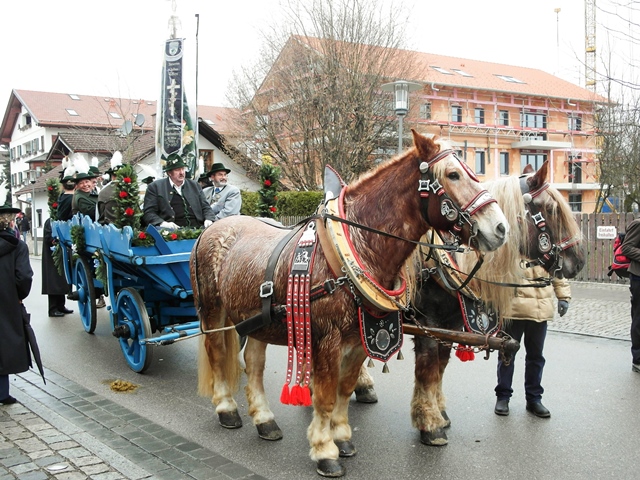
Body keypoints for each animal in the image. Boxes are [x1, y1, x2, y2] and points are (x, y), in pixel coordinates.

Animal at [190, 130, 510, 476]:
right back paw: (226, 408)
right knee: (218, 353)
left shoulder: (359, 339)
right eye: (452, 175)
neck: (356, 250)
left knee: (255, 363)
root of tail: (211, 230)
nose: (500, 228)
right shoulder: (327, 341)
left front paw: (342, 437)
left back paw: (264, 420)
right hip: (214, 312)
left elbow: (344, 390)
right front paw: (324, 450)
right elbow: (326, 396)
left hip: (258, 318)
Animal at [356, 160, 584, 446]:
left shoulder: (450, 325)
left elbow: (441, 368)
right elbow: (428, 369)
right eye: (552, 209)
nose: (579, 261)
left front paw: (440, 412)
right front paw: (429, 423)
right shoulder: (428, 325)